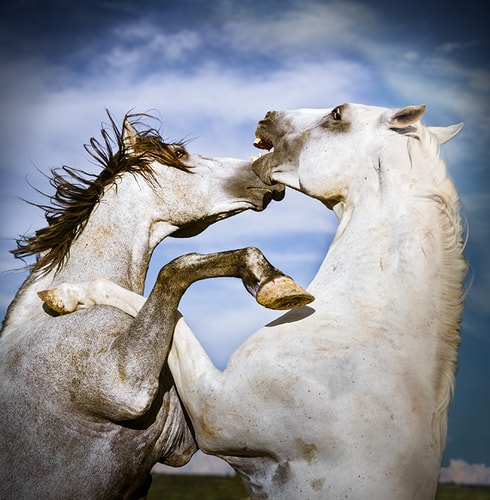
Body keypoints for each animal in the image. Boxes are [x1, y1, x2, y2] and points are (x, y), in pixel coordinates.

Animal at [0, 111, 314, 498]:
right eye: (179, 153)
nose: (265, 175)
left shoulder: (184, 435)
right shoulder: (125, 384)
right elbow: (177, 266)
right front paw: (272, 281)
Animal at [40, 103, 466, 498]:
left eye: (337, 114)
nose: (268, 115)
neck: (364, 320)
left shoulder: (214, 413)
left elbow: (163, 306)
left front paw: (65, 294)